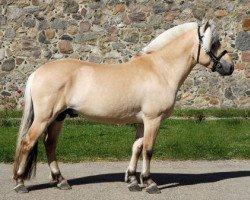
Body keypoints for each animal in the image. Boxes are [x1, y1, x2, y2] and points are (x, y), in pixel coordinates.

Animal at [12, 20, 233, 194]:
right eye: (214, 43)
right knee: (28, 142)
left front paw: (133, 180)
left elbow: (136, 147)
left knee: (50, 144)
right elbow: (148, 149)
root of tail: (37, 72)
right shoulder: (153, 119)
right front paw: (149, 183)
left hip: (58, 117)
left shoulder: (142, 121)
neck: (160, 69)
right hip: (44, 117)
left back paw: (61, 181)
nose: (229, 67)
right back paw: (20, 183)